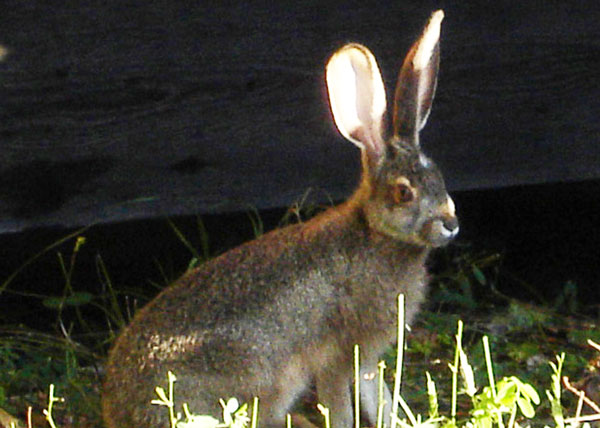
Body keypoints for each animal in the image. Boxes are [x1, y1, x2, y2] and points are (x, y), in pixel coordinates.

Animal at [104, 10, 460, 428]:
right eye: (404, 193)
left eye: (439, 178)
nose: (451, 223)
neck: (374, 235)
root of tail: (120, 410)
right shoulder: (338, 354)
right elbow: (340, 404)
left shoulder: (367, 359)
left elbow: (379, 397)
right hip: (260, 379)